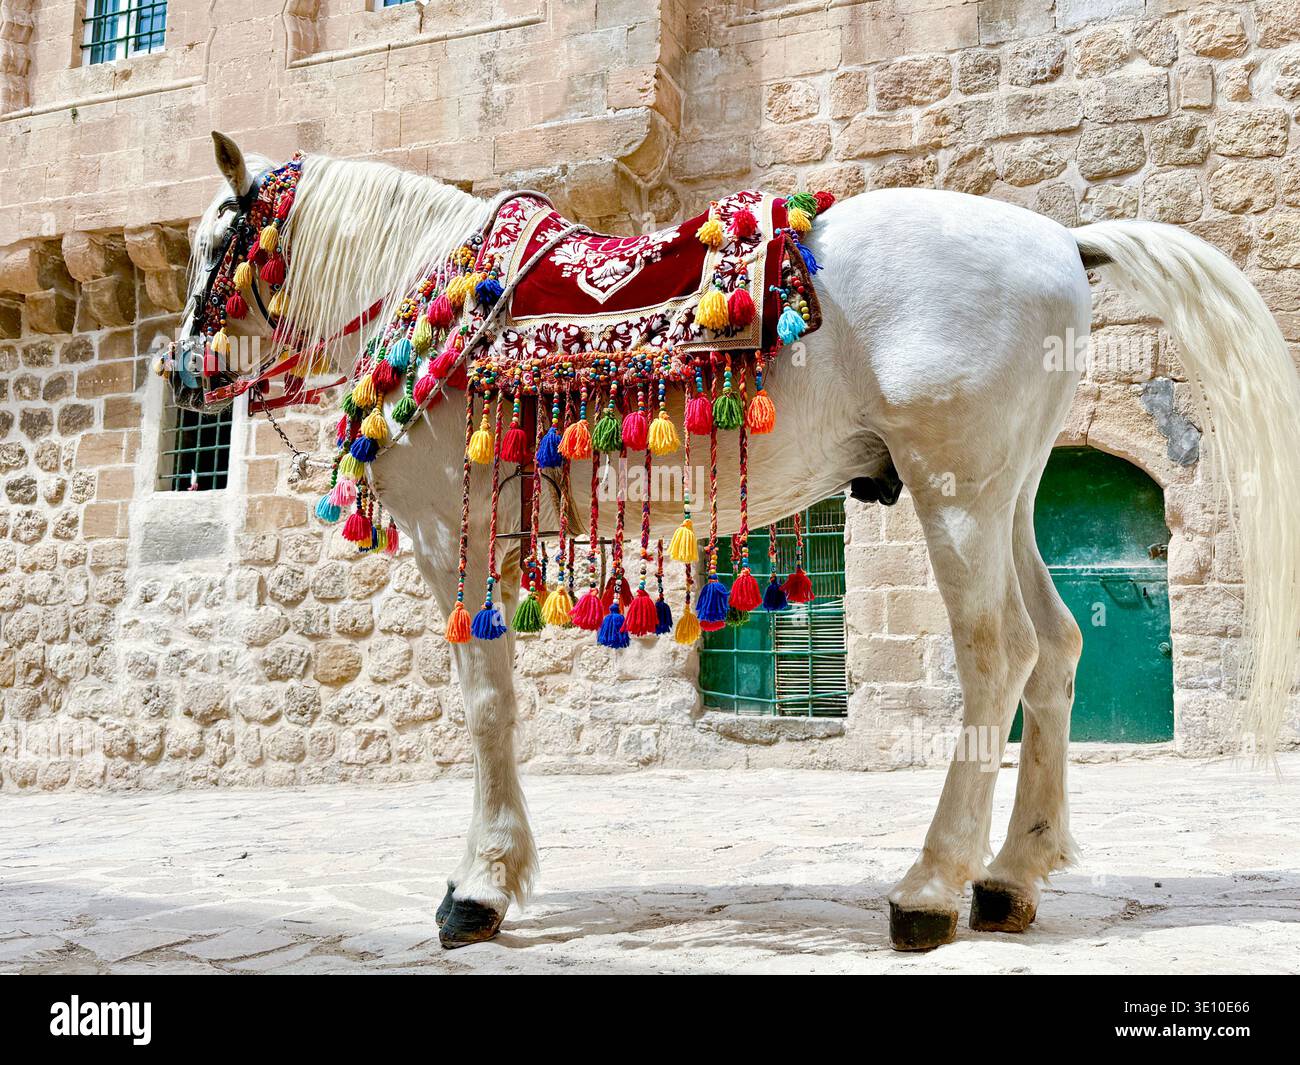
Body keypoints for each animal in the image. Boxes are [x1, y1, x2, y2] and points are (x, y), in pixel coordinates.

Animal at [172, 131, 1300, 952]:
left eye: (217, 244)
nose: (181, 372)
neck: (441, 302)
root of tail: (1064, 242)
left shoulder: (457, 536)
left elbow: (488, 710)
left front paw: (480, 887)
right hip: (1009, 489)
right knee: (1057, 645)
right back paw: (1010, 877)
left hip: (956, 490)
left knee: (998, 655)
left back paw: (930, 889)